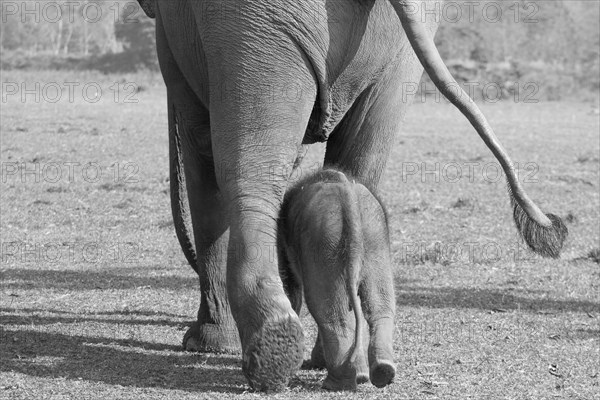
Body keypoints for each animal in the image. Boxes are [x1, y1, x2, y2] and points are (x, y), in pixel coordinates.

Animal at [278, 169, 396, 390]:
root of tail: (348, 195)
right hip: (374, 241)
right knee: (380, 306)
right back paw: (380, 373)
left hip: (324, 243)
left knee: (328, 311)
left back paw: (337, 383)